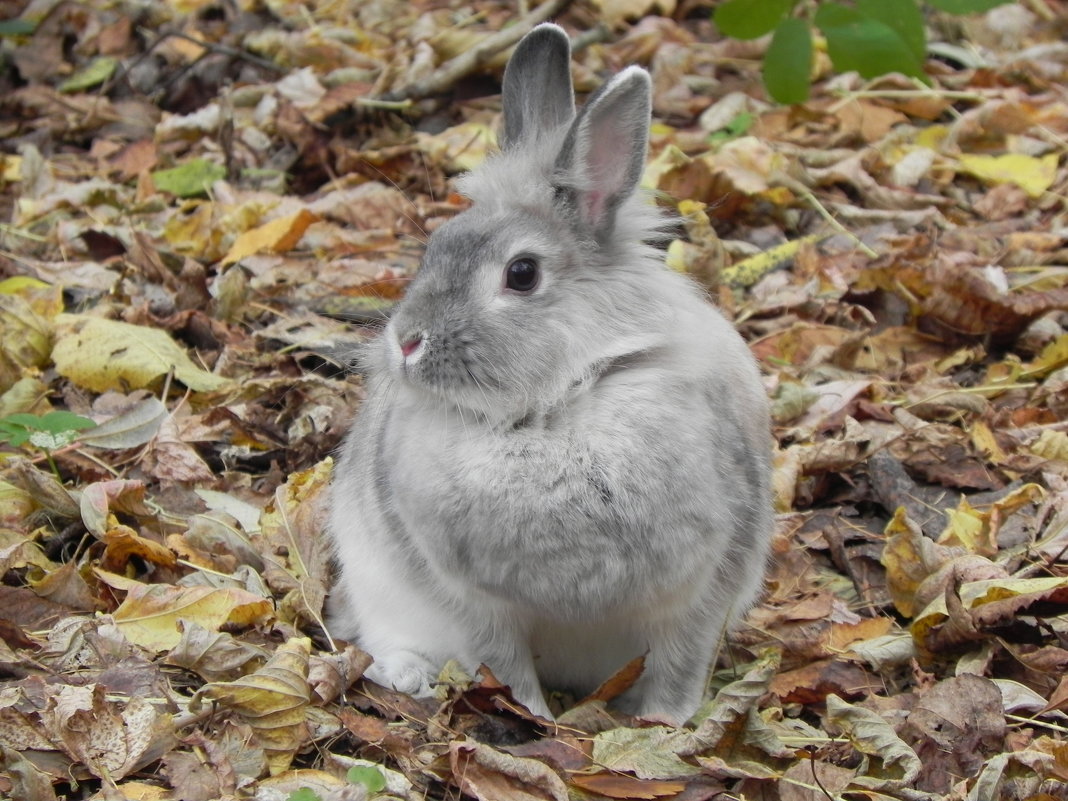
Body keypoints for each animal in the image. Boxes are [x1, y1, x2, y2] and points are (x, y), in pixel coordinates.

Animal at [322, 23, 768, 726]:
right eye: (434, 247)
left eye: (523, 274)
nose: (406, 342)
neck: (556, 408)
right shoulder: (473, 606)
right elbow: (504, 668)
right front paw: (537, 719)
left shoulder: (702, 596)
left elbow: (679, 672)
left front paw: (662, 726)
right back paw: (410, 676)